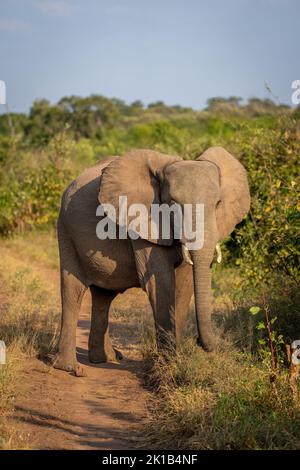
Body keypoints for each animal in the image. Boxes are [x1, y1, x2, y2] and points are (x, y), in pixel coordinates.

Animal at [54, 147, 251, 374]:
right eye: (173, 204)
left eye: (218, 203)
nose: (199, 342)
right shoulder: (142, 222)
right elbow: (161, 282)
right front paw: (169, 363)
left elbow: (184, 283)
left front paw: (176, 359)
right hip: (66, 230)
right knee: (72, 291)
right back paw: (71, 368)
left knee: (104, 296)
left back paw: (106, 359)